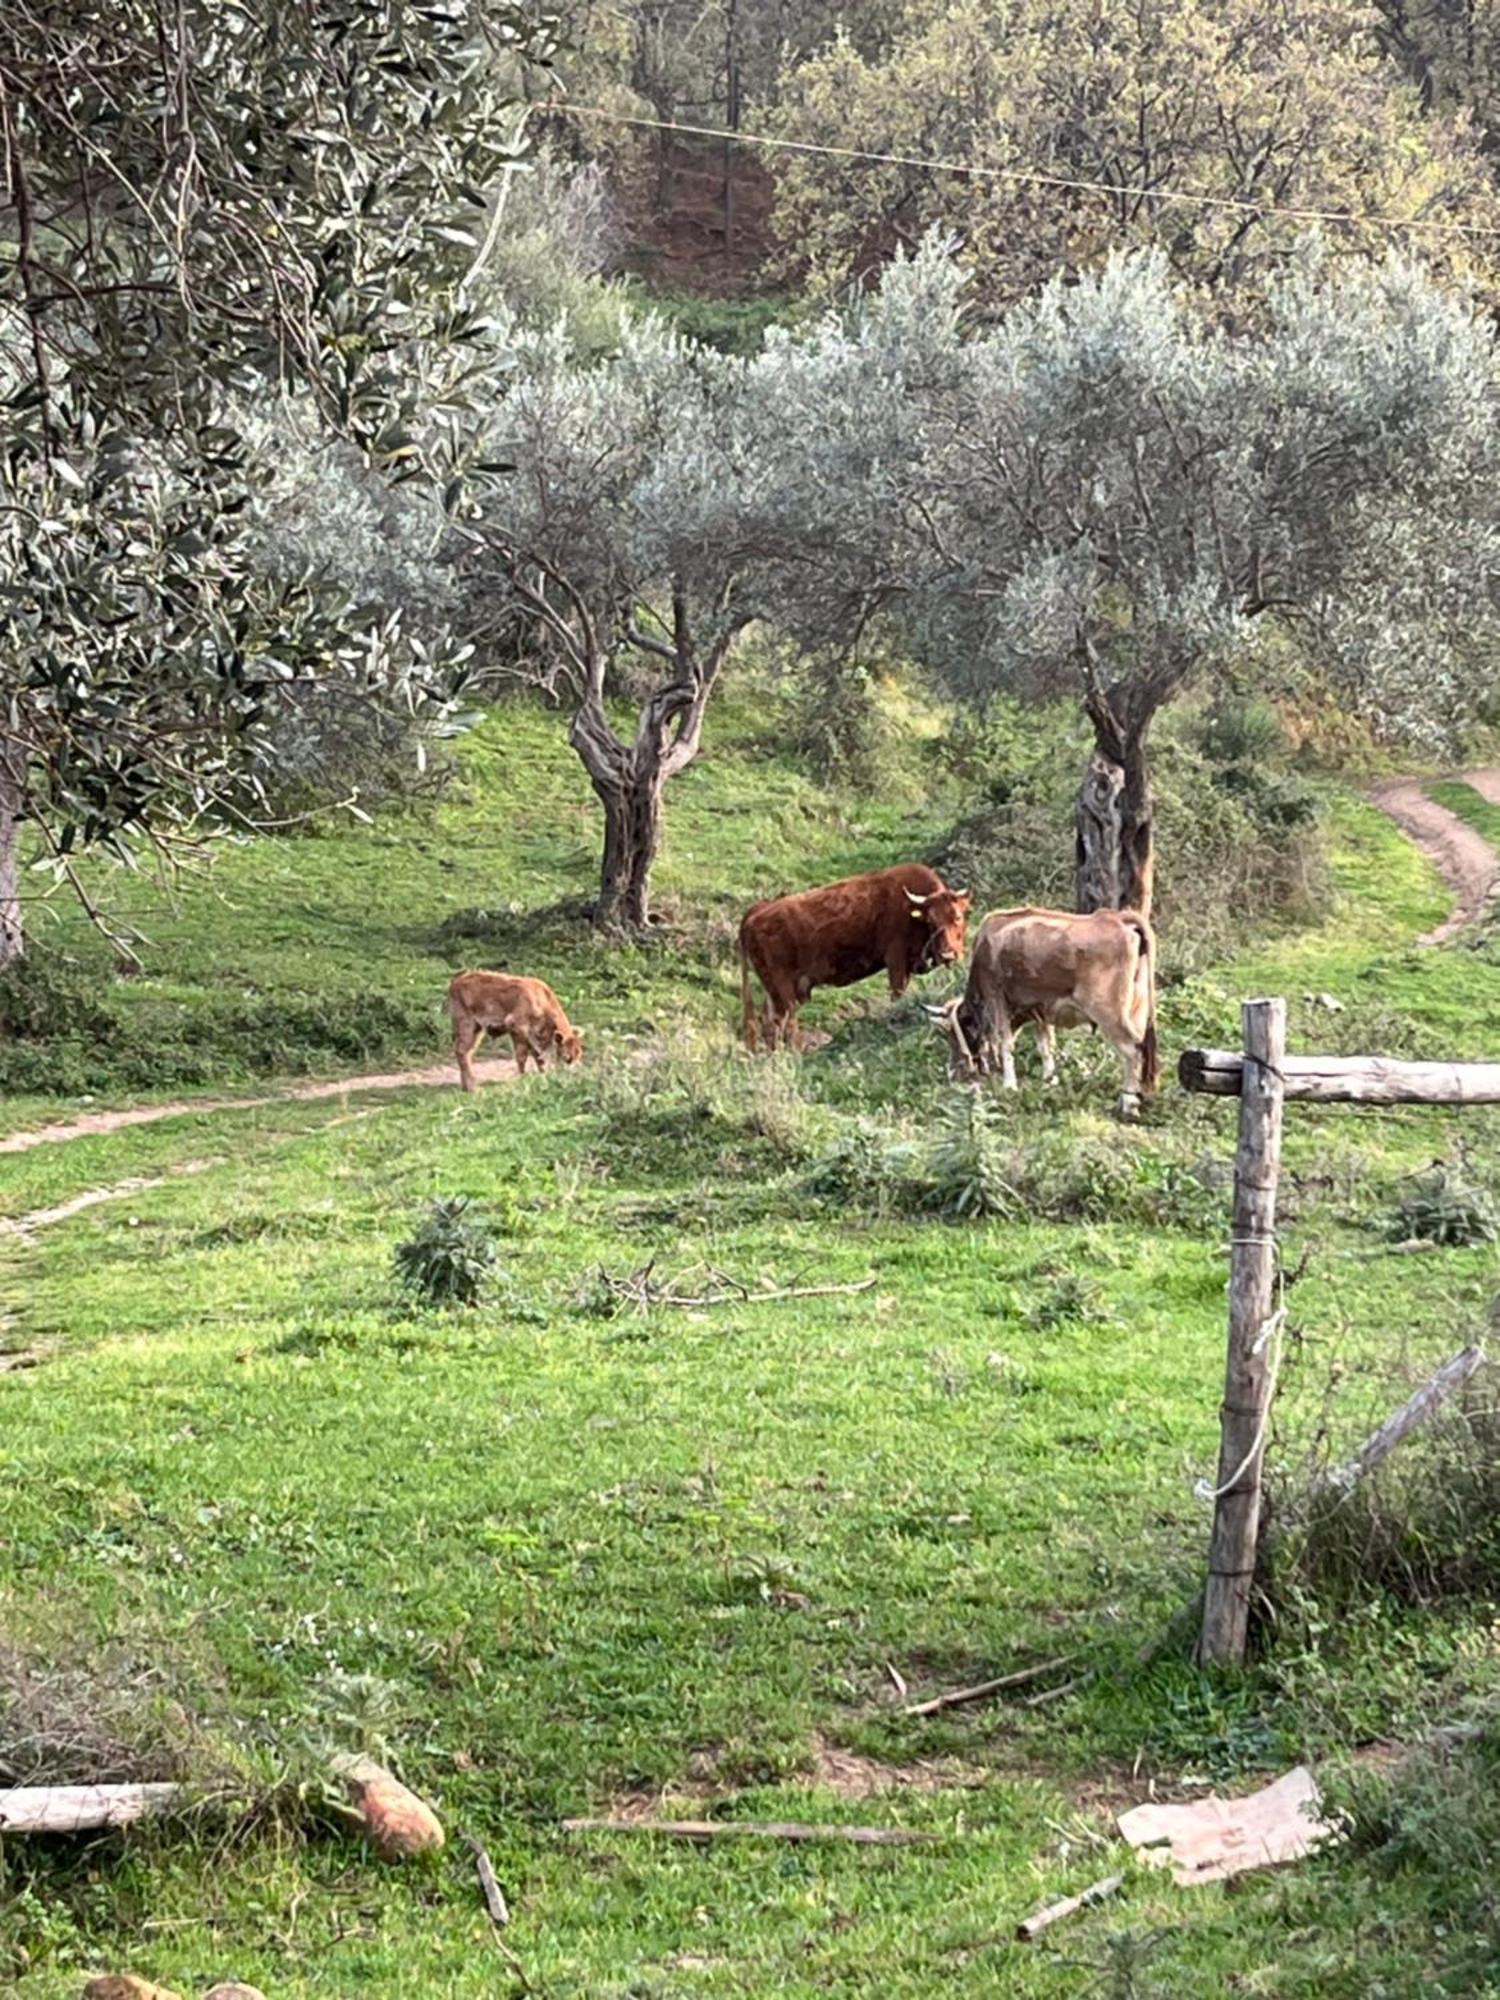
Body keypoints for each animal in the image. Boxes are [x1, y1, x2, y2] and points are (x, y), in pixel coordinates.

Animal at [450, 972, 584, 1096]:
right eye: (567, 1058)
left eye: (579, 1054)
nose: (574, 1075)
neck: (542, 1000)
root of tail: (457, 981)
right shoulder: (517, 1028)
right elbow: (522, 1056)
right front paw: (523, 1078)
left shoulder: (532, 1035)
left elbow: (537, 1056)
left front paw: (543, 1075)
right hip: (466, 1025)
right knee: (461, 1051)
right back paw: (472, 1088)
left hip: (477, 1030)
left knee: (468, 1052)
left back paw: (466, 1087)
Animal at [740, 856, 976, 1048]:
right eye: (930, 922)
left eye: (957, 916)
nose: (948, 955)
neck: (909, 910)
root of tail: (758, 911)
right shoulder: (896, 960)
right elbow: (897, 993)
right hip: (783, 989)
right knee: (784, 1022)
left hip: (773, 990)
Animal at [928, 904, 1160, 1120]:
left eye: (952, 1034)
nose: (952, 1072)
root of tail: (1117, 918)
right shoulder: (1041, 1010)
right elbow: (1046, 1046)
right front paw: (1049, 1081)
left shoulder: (996, 999)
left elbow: (1005, 1044)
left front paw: (1009, 1085)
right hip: (1137, 1011)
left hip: (1109, 1014)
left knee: (1132, 1051)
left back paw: (1128, 1104)